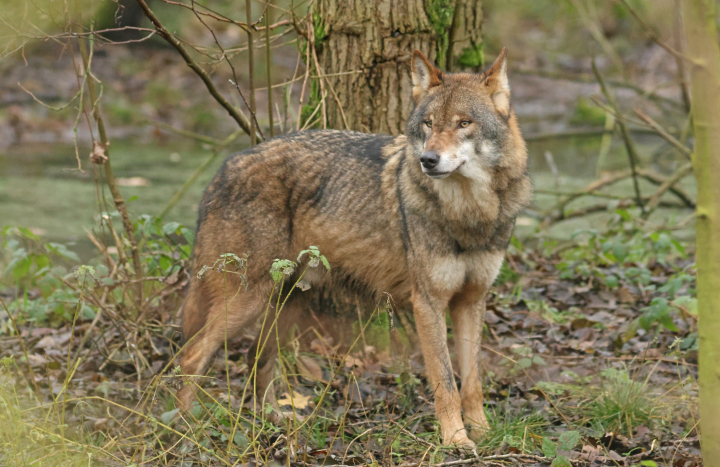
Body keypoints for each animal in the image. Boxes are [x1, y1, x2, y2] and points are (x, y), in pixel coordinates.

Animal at [177, 48, 531, 448]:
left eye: (463, 123)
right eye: (428, 124)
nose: (427, 160)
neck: (469, 214)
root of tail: (224, 169)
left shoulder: (471, 300)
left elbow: (471, 382)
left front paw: (483, 433)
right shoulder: (427, 303)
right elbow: (444, 382)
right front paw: (455, 440)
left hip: (290, 301)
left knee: (255, 358)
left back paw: (273, 422)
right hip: (247, 300)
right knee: (192, 356)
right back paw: (186, 428)